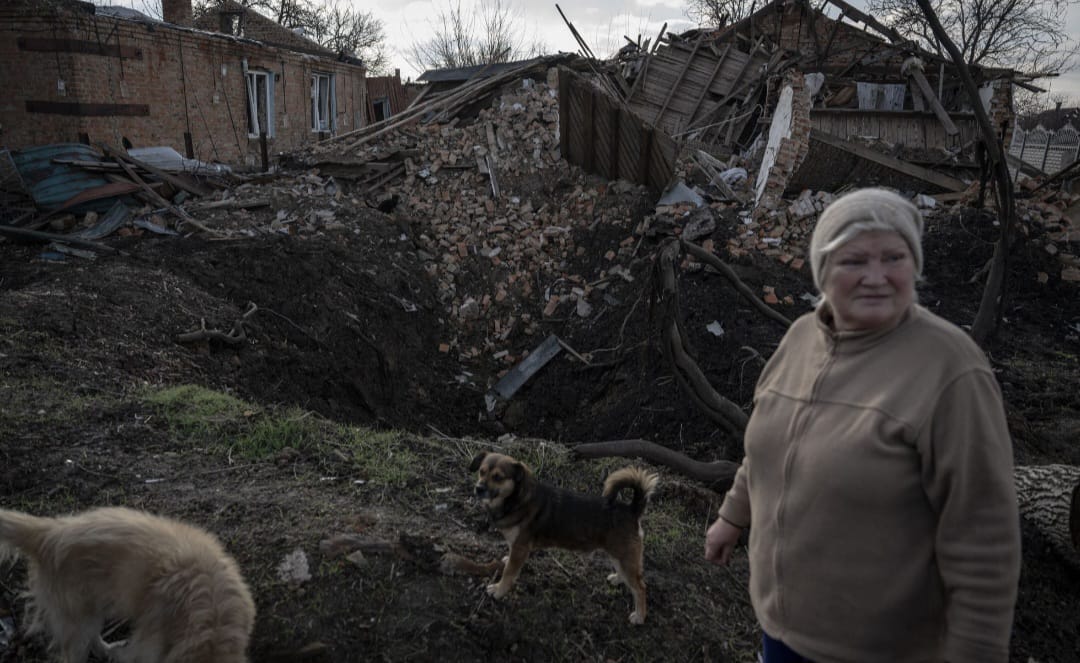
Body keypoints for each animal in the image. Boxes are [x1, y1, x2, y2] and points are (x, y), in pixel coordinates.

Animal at [0, 507, 254, 660]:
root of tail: (49, 532)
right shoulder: (150, 646)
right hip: (78, 617)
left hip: (94, 607)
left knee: (93, 637)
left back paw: (108, 650)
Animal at [470, 449, 656, 626]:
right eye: (481, 471)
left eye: (498, 477)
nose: (478, 488)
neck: (516, 500)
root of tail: (632, 510)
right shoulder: (516, 548)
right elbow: (510, 563)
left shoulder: (520, 548)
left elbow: (509, 573)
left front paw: (499, 590)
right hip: (619, 555)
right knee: (628, 574)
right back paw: (618, 578)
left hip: (624, 555)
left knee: (640, 587)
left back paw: (640, 616)